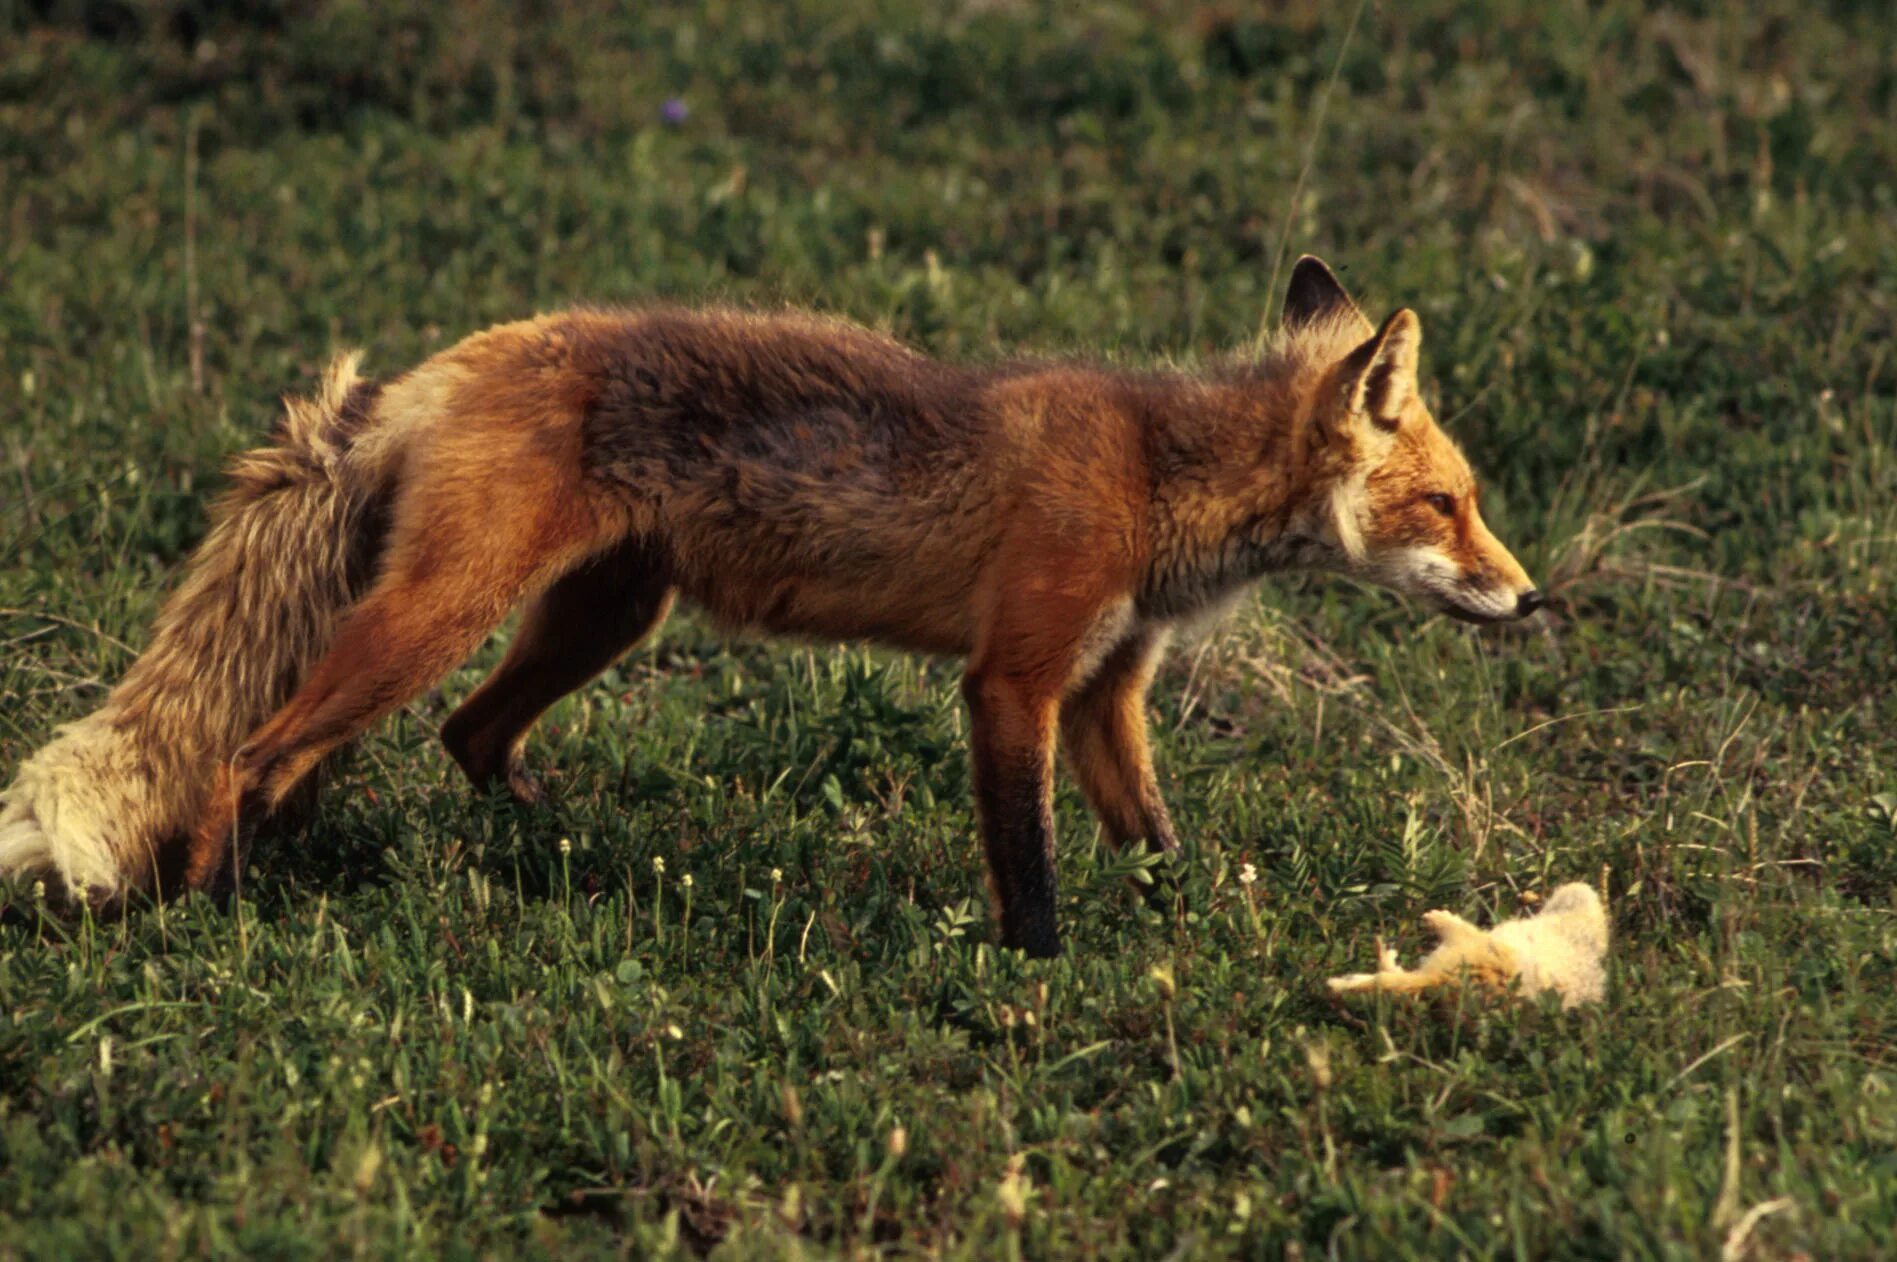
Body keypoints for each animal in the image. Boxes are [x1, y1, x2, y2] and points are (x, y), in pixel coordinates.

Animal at [0, 258, 1540, 956]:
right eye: (1447, 504)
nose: (1532, 600)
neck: (1157, 475)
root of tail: (434, 369)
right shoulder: (1014, 680)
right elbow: (1031, 865)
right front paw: (1044, 976)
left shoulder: (1106, 690)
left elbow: (1156, 840)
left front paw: (1196, 930)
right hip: (443, 614)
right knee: (253, 751)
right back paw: (217, 905)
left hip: (600, 617)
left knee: (458, 741)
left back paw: (546, 850)